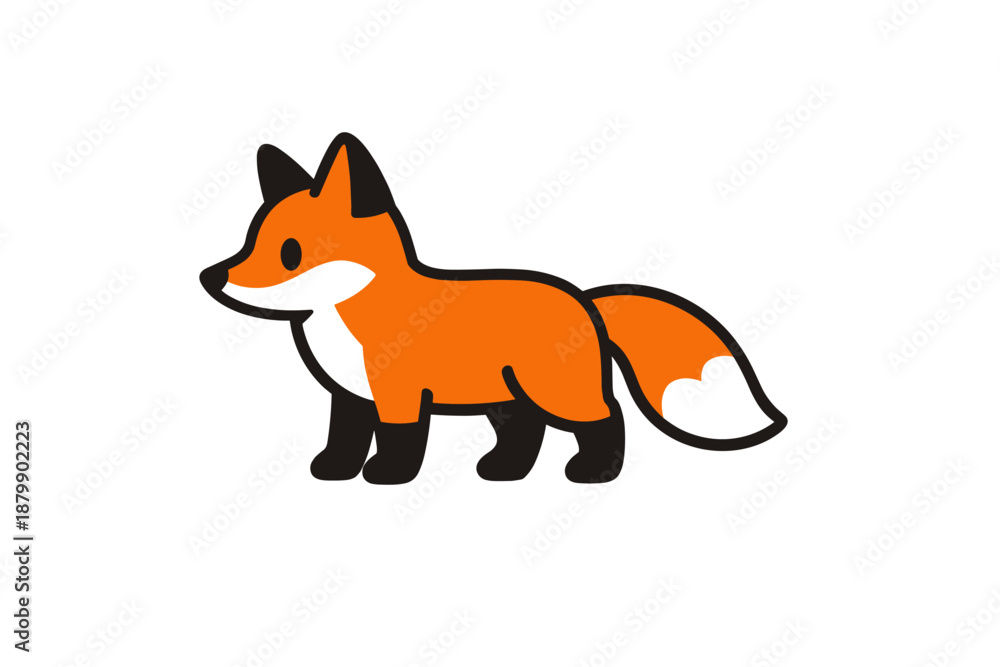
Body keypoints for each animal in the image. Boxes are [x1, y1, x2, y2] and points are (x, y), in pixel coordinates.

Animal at [200, 133, 786, 485]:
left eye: (290, 252)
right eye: (250, 241)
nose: (211, 278)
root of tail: (583, 297)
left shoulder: (398, 394)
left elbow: (400, 440)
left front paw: (388, 474)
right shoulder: (351, 396)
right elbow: (343, 438)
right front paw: (335, 469)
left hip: (557, 392)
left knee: (608, 417)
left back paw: (593, 471)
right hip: (505, 398)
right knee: (527, 433)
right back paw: (505, 469)